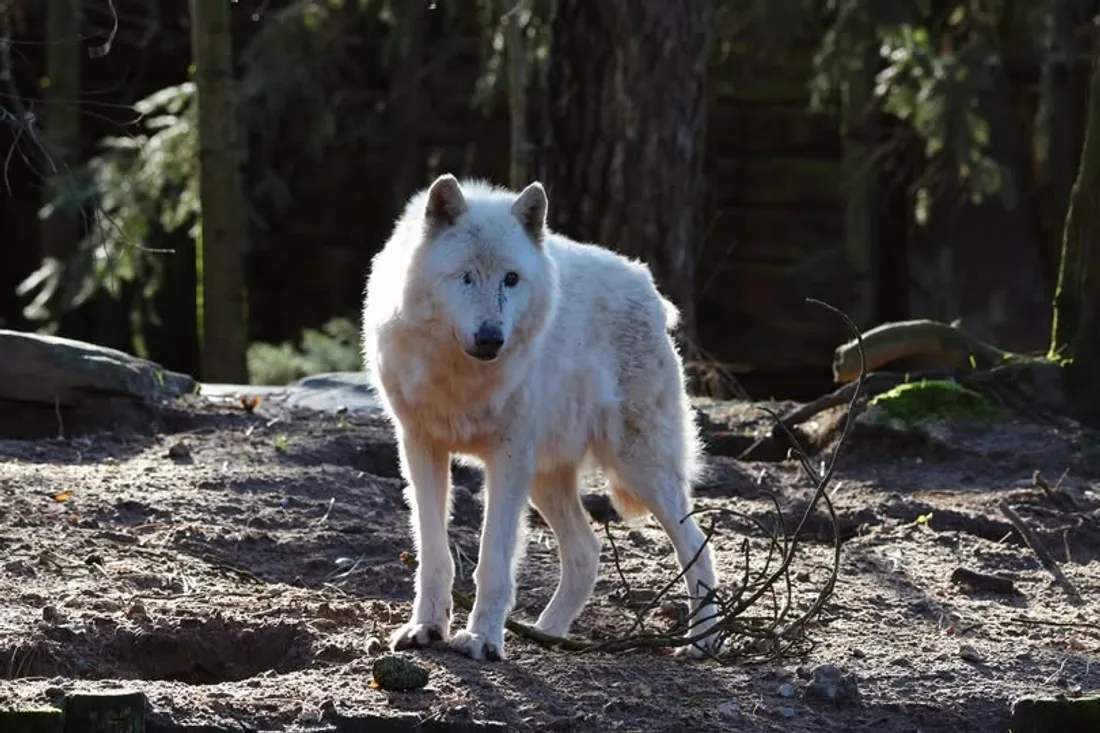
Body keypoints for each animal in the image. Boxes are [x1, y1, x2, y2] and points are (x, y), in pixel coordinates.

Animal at [360, 173, 722, 662]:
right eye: (465, 276)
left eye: (512, 279)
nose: (490, 338)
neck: (462, 374)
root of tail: (647, 285)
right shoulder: (420, 448)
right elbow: (434, 555)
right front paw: (426, 629)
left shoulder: (507, 458)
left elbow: (493, 561)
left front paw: (482, 640)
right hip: (546, 479)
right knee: (587, 552)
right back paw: (548, 634)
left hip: (638, 467)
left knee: (697, 547)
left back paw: (702, 643)